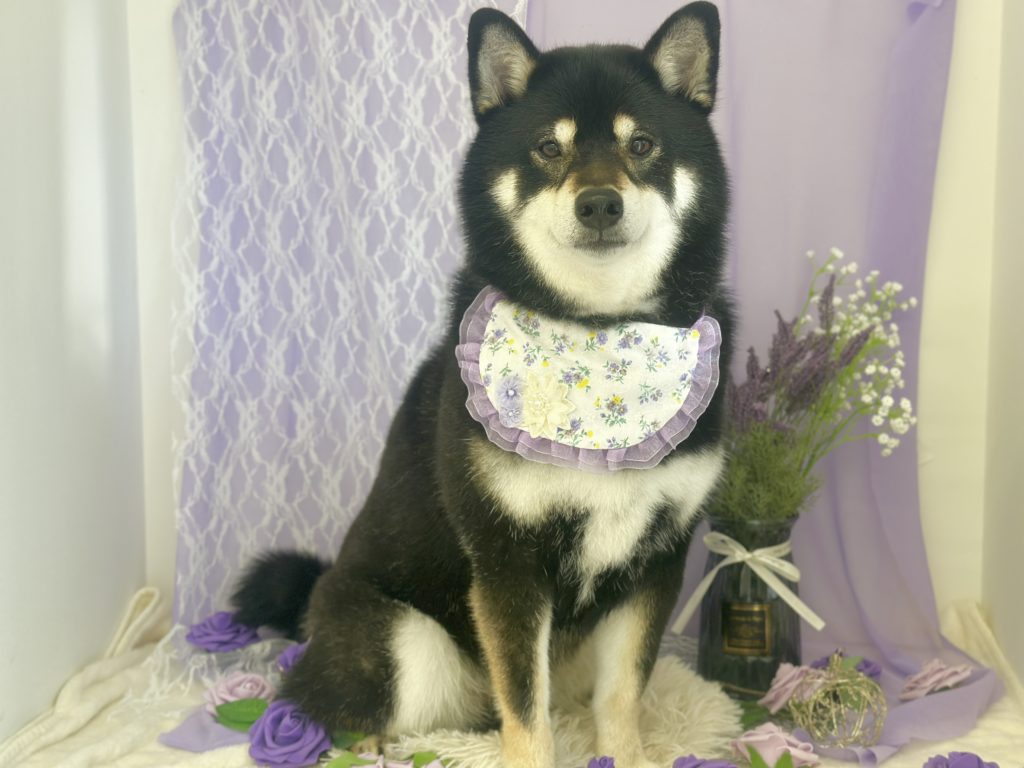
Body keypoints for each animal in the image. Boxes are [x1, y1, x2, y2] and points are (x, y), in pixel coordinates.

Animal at [232, 4, 733, 767]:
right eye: (548, 149)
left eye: (642, 144)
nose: (599, 204)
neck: (599, 334)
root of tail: (316, 601)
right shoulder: (506, 561)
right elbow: (524, 706)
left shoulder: (657, 558)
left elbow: (622, 695)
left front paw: (627, 753)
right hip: (408, 642)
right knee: (333, 702)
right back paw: (369, 740)